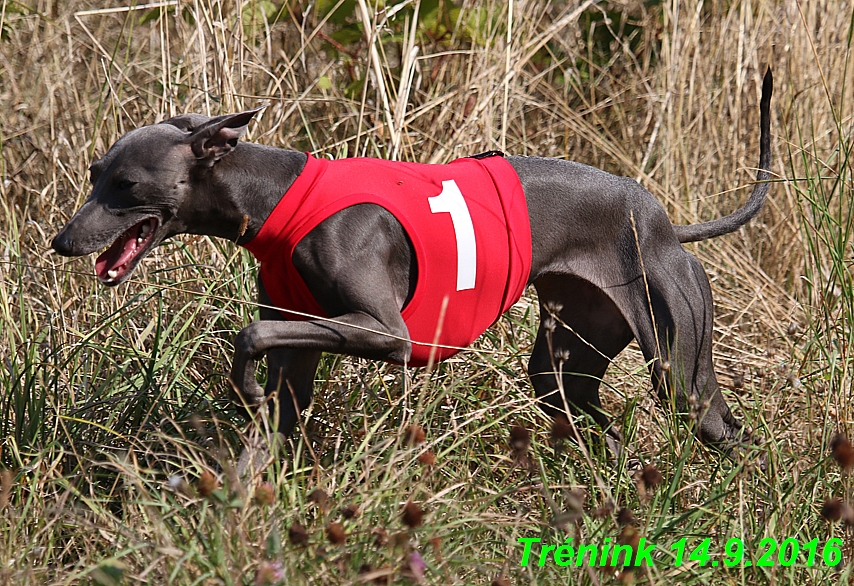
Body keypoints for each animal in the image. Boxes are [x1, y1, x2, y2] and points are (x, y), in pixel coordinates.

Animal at [53, 67, 776, 452]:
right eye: (94, 174)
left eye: (127, 186)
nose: (62, 243)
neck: (280, 193)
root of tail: (664, 222)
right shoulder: (302, 343)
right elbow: (273, 395)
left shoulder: (384, 333)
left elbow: (252, 333)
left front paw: (246, 388)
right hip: (565, 363)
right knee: (599, 424)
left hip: (678, 367)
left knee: (724, 429)